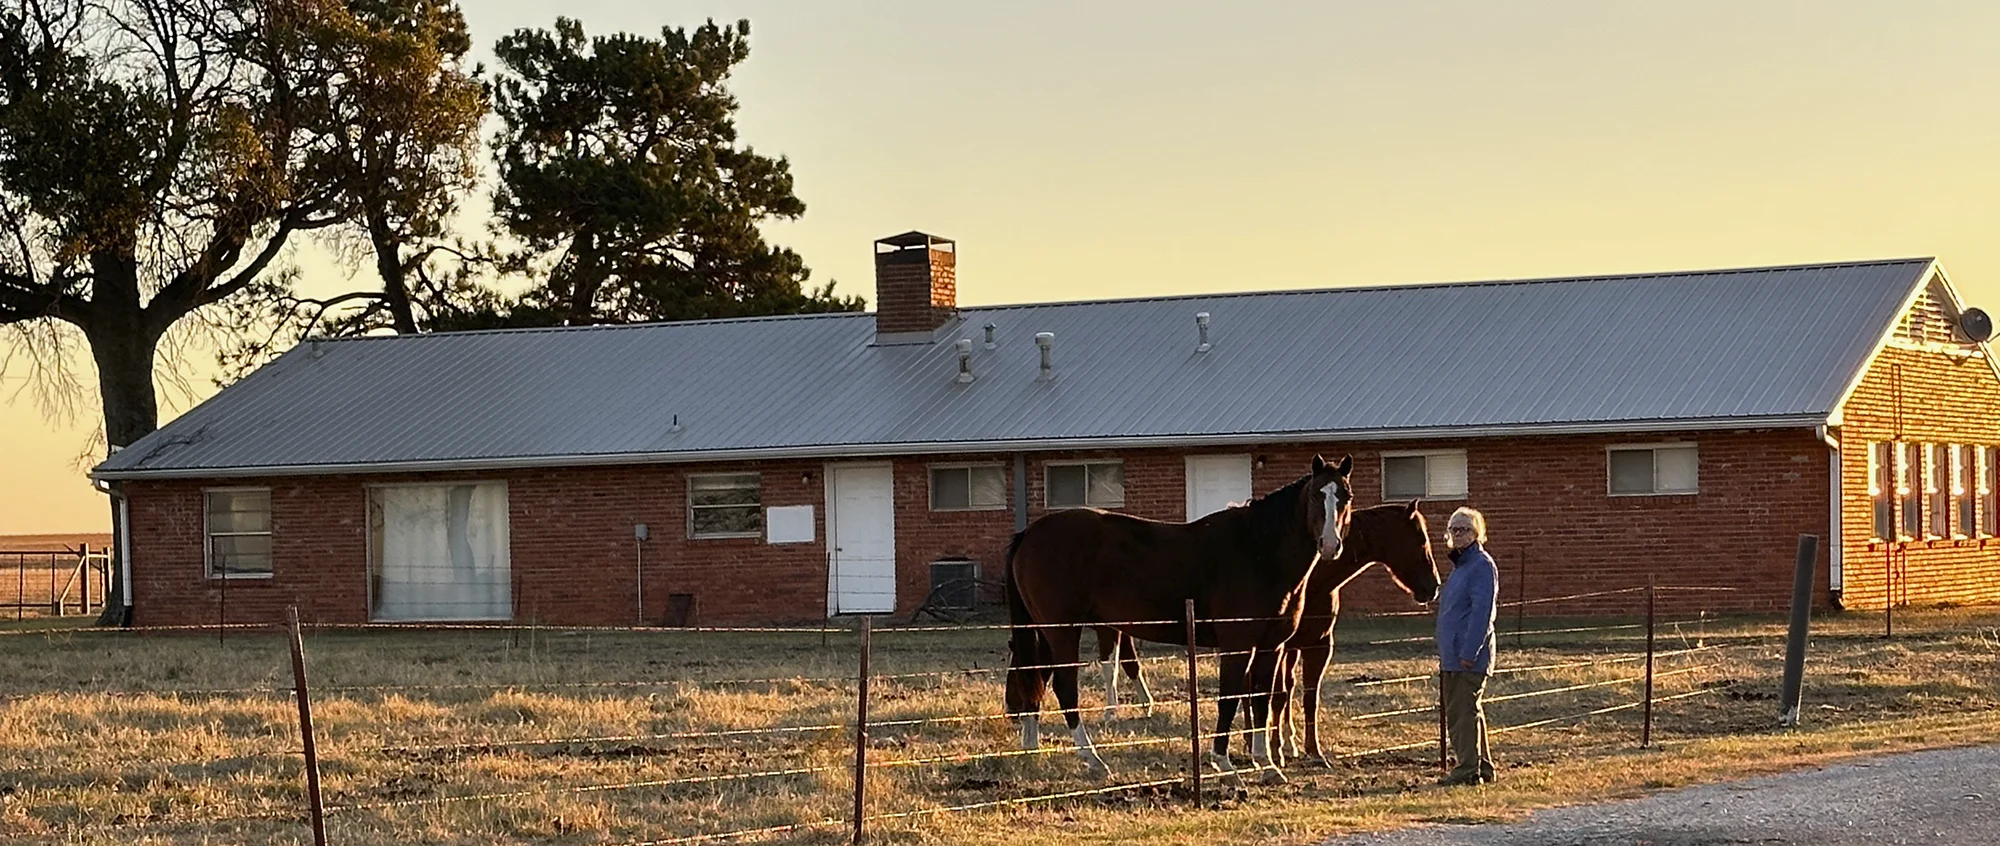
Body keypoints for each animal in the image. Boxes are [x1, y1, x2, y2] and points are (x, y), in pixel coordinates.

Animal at [1004, 454, 1354, 784]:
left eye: (1346, 496)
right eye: (1316, 495)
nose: (1330, 545)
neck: (1258, 551)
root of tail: (1029, 533)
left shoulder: (1272, 646)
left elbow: (1261, 699)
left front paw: (1266, 764)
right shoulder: (1236, 645)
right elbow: (1229, 698)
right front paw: (1225, 765)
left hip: (1047, 631)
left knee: (1037, 675)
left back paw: (1032, 746)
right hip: (1063, 630)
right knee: (1064, 687)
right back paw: (1093, 759)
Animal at [1270, 500, 1441, 764]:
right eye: (1420, 540)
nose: (1434, 587)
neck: (1313, 581)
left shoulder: (1319, 645)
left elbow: (1309, 698)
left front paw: (1314, 751)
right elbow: (1277, 696)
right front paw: (1275, 751)